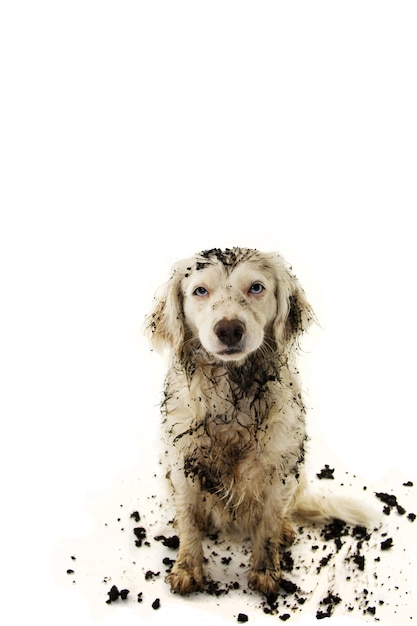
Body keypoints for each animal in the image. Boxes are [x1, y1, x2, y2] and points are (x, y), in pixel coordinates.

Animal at [145, 247, 368, 596]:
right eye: (200, 291)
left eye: (256, 287)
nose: (229, 329)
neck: (232, 394)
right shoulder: (183, 467)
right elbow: (190, 521)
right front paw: (187, 569)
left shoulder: (280, 469)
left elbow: (269, 524)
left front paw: (265, 572)